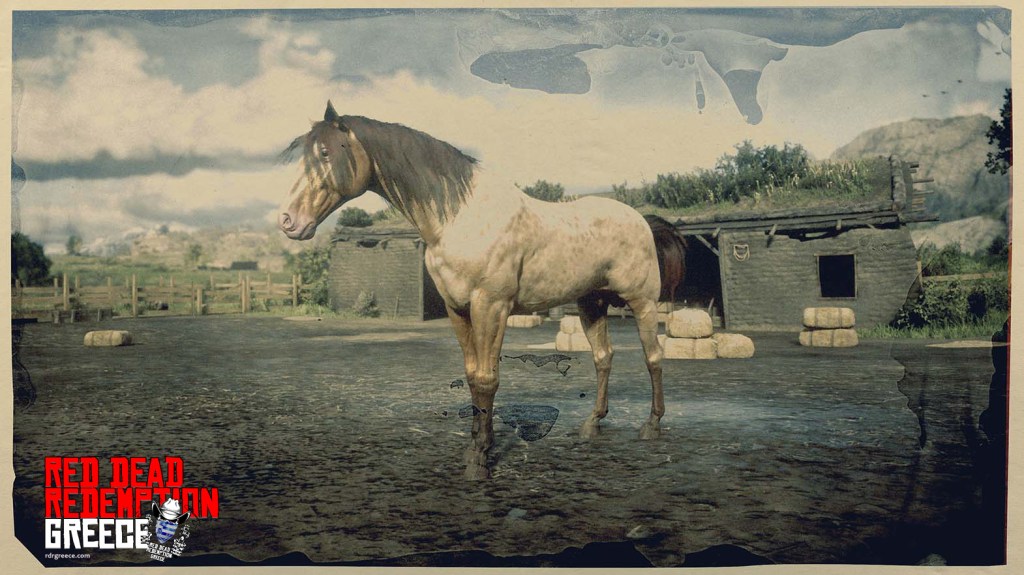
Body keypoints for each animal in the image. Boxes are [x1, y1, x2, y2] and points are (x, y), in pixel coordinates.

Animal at [279, 101, 687, 479]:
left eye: (325, 152)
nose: (288, 221)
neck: (460, 217)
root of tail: (641, 221)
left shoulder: (491, 305)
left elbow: (488, 379)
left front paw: (480, 460)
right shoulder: (458, 308)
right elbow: (473, 375)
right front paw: (477, 445)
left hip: (641, 302)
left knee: (653, 356)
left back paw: (651, 426)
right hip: (591, 304)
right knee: (604, 357)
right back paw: (592, 424)